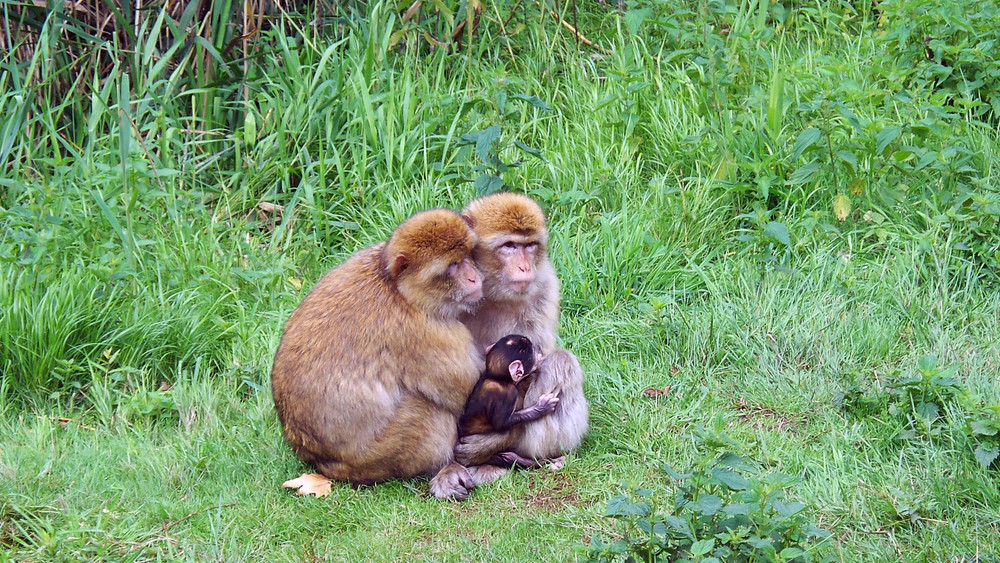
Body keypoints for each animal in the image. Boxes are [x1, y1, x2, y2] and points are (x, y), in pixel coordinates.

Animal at [268, 209, 482, 500]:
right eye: (453, 265)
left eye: (468, 256)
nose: (474, 277)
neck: (397, 288)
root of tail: (318, 461)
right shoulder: (426, 334)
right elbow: (469, 395)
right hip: (379, 457)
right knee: (429, 415)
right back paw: (444, 468)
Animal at [458, 194, 588, 484]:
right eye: (509, 245)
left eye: (529, 246)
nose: (525, 267)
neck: (491, 291)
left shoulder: (545, 285)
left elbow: (541, 361)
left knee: (561, 360)